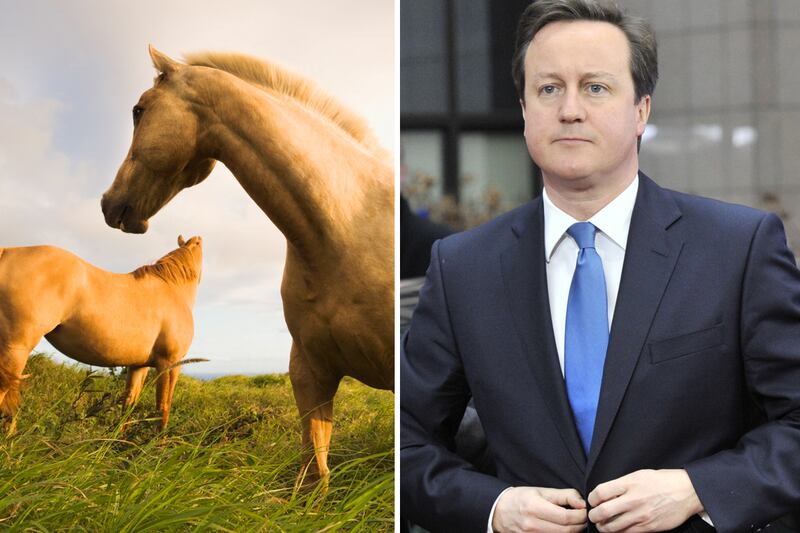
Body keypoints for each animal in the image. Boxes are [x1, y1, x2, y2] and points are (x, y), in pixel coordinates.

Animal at [0, 235, 203, 434]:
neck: (172, 289)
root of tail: (7, 252)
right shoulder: (170, 364)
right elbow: (163, 410)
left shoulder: (138, 366)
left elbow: (128, 407)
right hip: (16, 350)